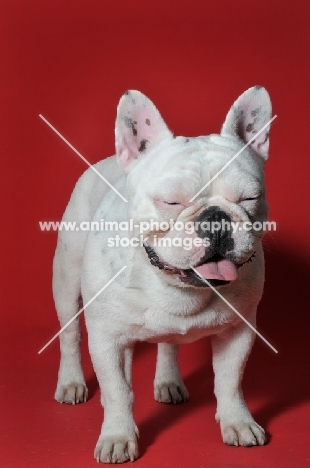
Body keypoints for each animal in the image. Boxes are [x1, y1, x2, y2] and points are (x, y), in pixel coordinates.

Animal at [53, 86, 274, 462]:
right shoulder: (107, 337)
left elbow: (230, 381)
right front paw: (118, 436)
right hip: (66, 282)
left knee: (167, 344)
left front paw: (238, 422)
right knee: (71, 336)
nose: (215, 219)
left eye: (249, 198)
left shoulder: (239, 331)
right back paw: (72, 383)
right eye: (171, 202)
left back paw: (168, 381)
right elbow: (118, 390)